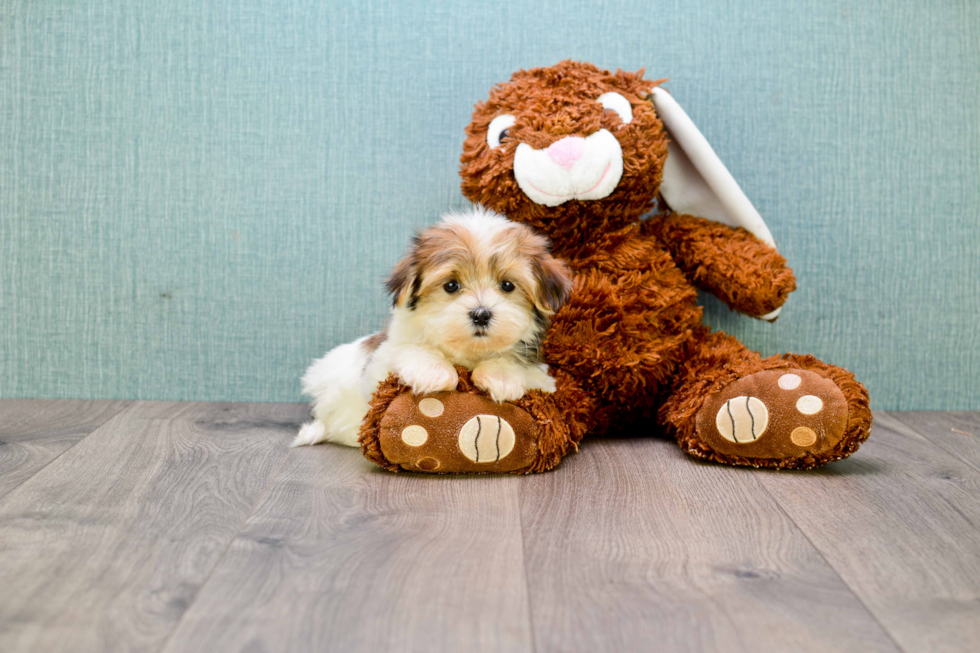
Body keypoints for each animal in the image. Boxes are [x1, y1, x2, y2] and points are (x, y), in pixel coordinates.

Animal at [290, 205, 576, 448]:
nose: (481, 314)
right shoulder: (380, 363)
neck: (468, 353)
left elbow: (517, 365)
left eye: (507, 285)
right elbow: (407, 349)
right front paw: (434, 371)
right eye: (451, 285)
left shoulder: (543, 379)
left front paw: (501, 377)